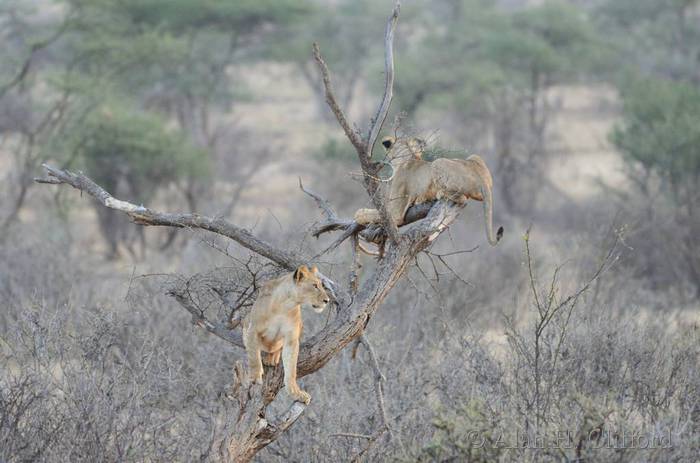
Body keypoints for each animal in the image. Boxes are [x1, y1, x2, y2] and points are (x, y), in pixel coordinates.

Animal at [242, 266, 330, 404]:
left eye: (321, 285)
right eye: (315, 285)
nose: (327, 300)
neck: (286, 305)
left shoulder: (291, 338)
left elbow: (291, 369)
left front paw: (296, 393)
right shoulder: (253, 329)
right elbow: (253, 356)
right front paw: (255, 377)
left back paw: (272, 359)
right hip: (246, 321)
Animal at [356, 136, 504, 246]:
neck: (408, 157)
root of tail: (482, 180)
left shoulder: (396, 212)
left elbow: (373, 213)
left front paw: (359, 215)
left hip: (438, 162)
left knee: (462, 198)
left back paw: (437, 194)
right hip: (474, 157)